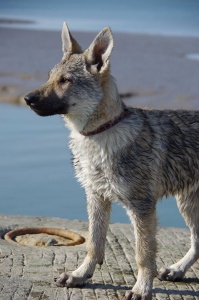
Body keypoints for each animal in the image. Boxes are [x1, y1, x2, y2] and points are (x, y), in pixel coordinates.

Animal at [24, 22, 199, 298]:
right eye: (50, 76)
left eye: (66, 81)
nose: (27, 99)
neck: (99, 135)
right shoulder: (96, 197)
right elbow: (94, 245)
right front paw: (79, 275)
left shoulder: (141, 207)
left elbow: (143, 255)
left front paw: (141, 288)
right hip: (187, 204)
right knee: (198, 240)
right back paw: (178, 270)